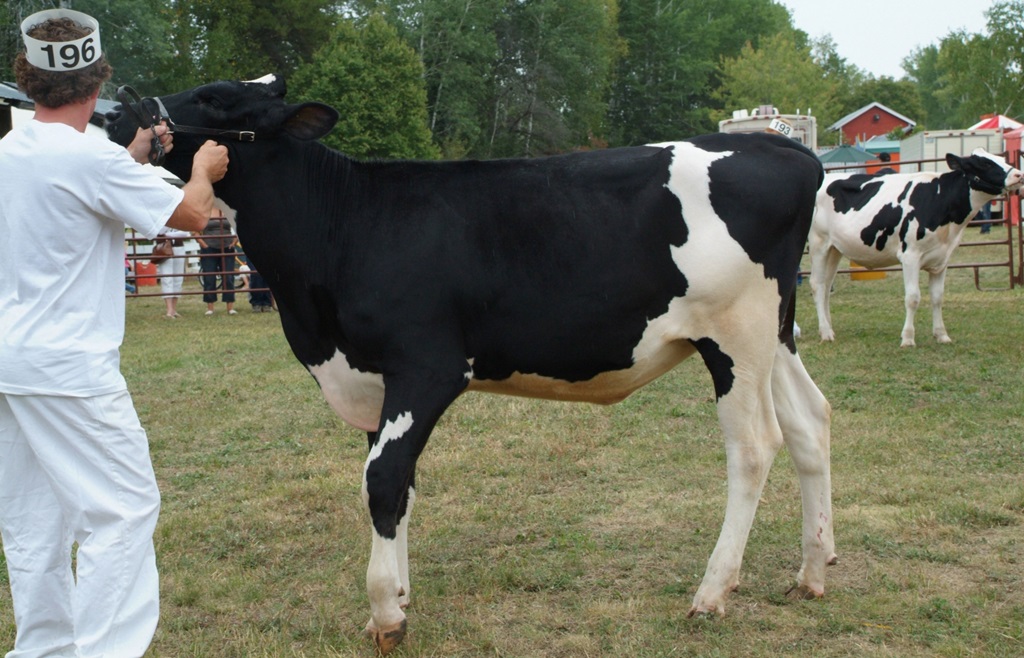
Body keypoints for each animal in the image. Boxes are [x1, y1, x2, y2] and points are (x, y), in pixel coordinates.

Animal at [105, 76, 832, 654]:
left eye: (216, 98)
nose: (121, 111)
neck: (346, 227)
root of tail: (782, 148)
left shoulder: (425, 367)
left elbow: (383, 480)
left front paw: (384, 615)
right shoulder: (376, 380)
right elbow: (400, 486)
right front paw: (399, 596)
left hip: (735, 335)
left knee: (754, 447)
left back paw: (712, 593)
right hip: (775, 334)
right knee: (810, 424)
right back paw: (813, 571)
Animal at [809, 150, 1023, 347]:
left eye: (1001, 159)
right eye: (985, 163)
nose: (1018, 175)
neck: (939, 200)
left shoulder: (942, 259)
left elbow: (937, 297)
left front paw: (941, 335)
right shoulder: (910, 256)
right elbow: (913, 297)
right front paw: (908, 338)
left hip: (834, 249)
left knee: (826, 285)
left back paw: (827, 327)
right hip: (818, 243)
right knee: (817, 284)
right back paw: (826, 332)